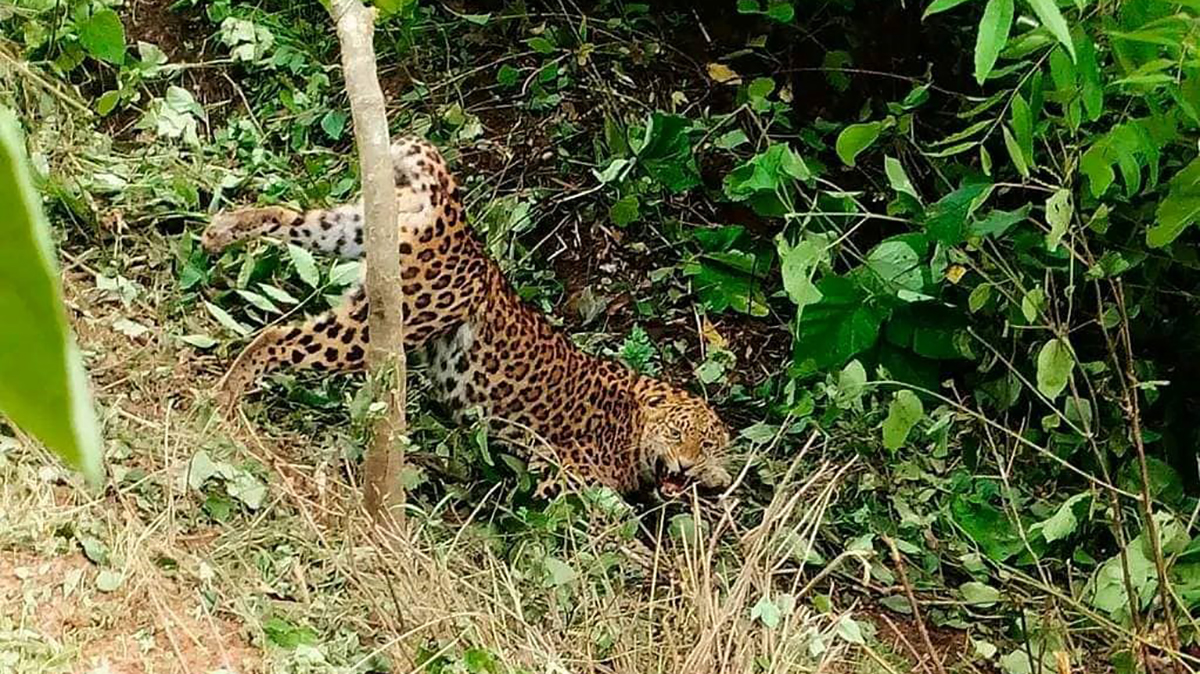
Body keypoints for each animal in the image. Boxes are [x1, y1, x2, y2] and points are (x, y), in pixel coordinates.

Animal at [196, 134, 729, 494]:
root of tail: (458, 217)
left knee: (289, 215)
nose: (685, 467)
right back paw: (225, 397)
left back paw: (221, 230)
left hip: (355, 227)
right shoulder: (561, 475)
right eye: (678, 435)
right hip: (382, 322)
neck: (634, 417)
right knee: (278, 337)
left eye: (708, 448)